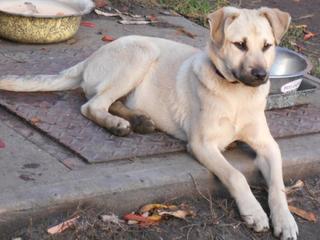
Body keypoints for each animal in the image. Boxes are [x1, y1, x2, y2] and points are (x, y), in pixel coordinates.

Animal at [1, 7, 298, 240]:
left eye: (267, 46)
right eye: (239, 45)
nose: (261, 76)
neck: (236, 94)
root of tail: (92, 56)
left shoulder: (269, 146)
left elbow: (278, 185)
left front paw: (285, 220)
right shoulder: (201, 144)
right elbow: (236, 175)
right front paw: (254, 212)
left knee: (109, 102)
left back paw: (138, 120)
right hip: (141, 54)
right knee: (92, 105)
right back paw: (117, 124)